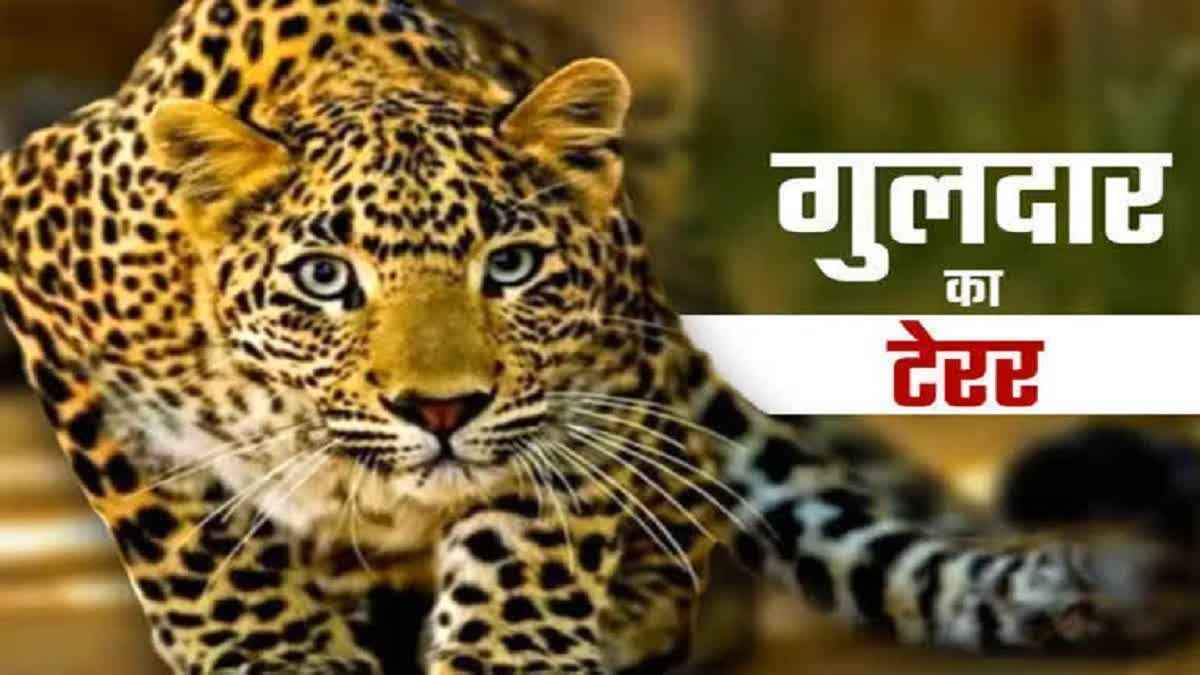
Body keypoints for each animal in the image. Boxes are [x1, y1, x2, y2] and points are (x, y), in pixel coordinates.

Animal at [0, 1, 1195, 673]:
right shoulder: (40, 259)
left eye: (511, 266)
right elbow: (182, 531)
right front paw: (269, 651)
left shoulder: (595, 384)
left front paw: (511, 652)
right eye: (324, 279)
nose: (442, 410)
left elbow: (529, 538)